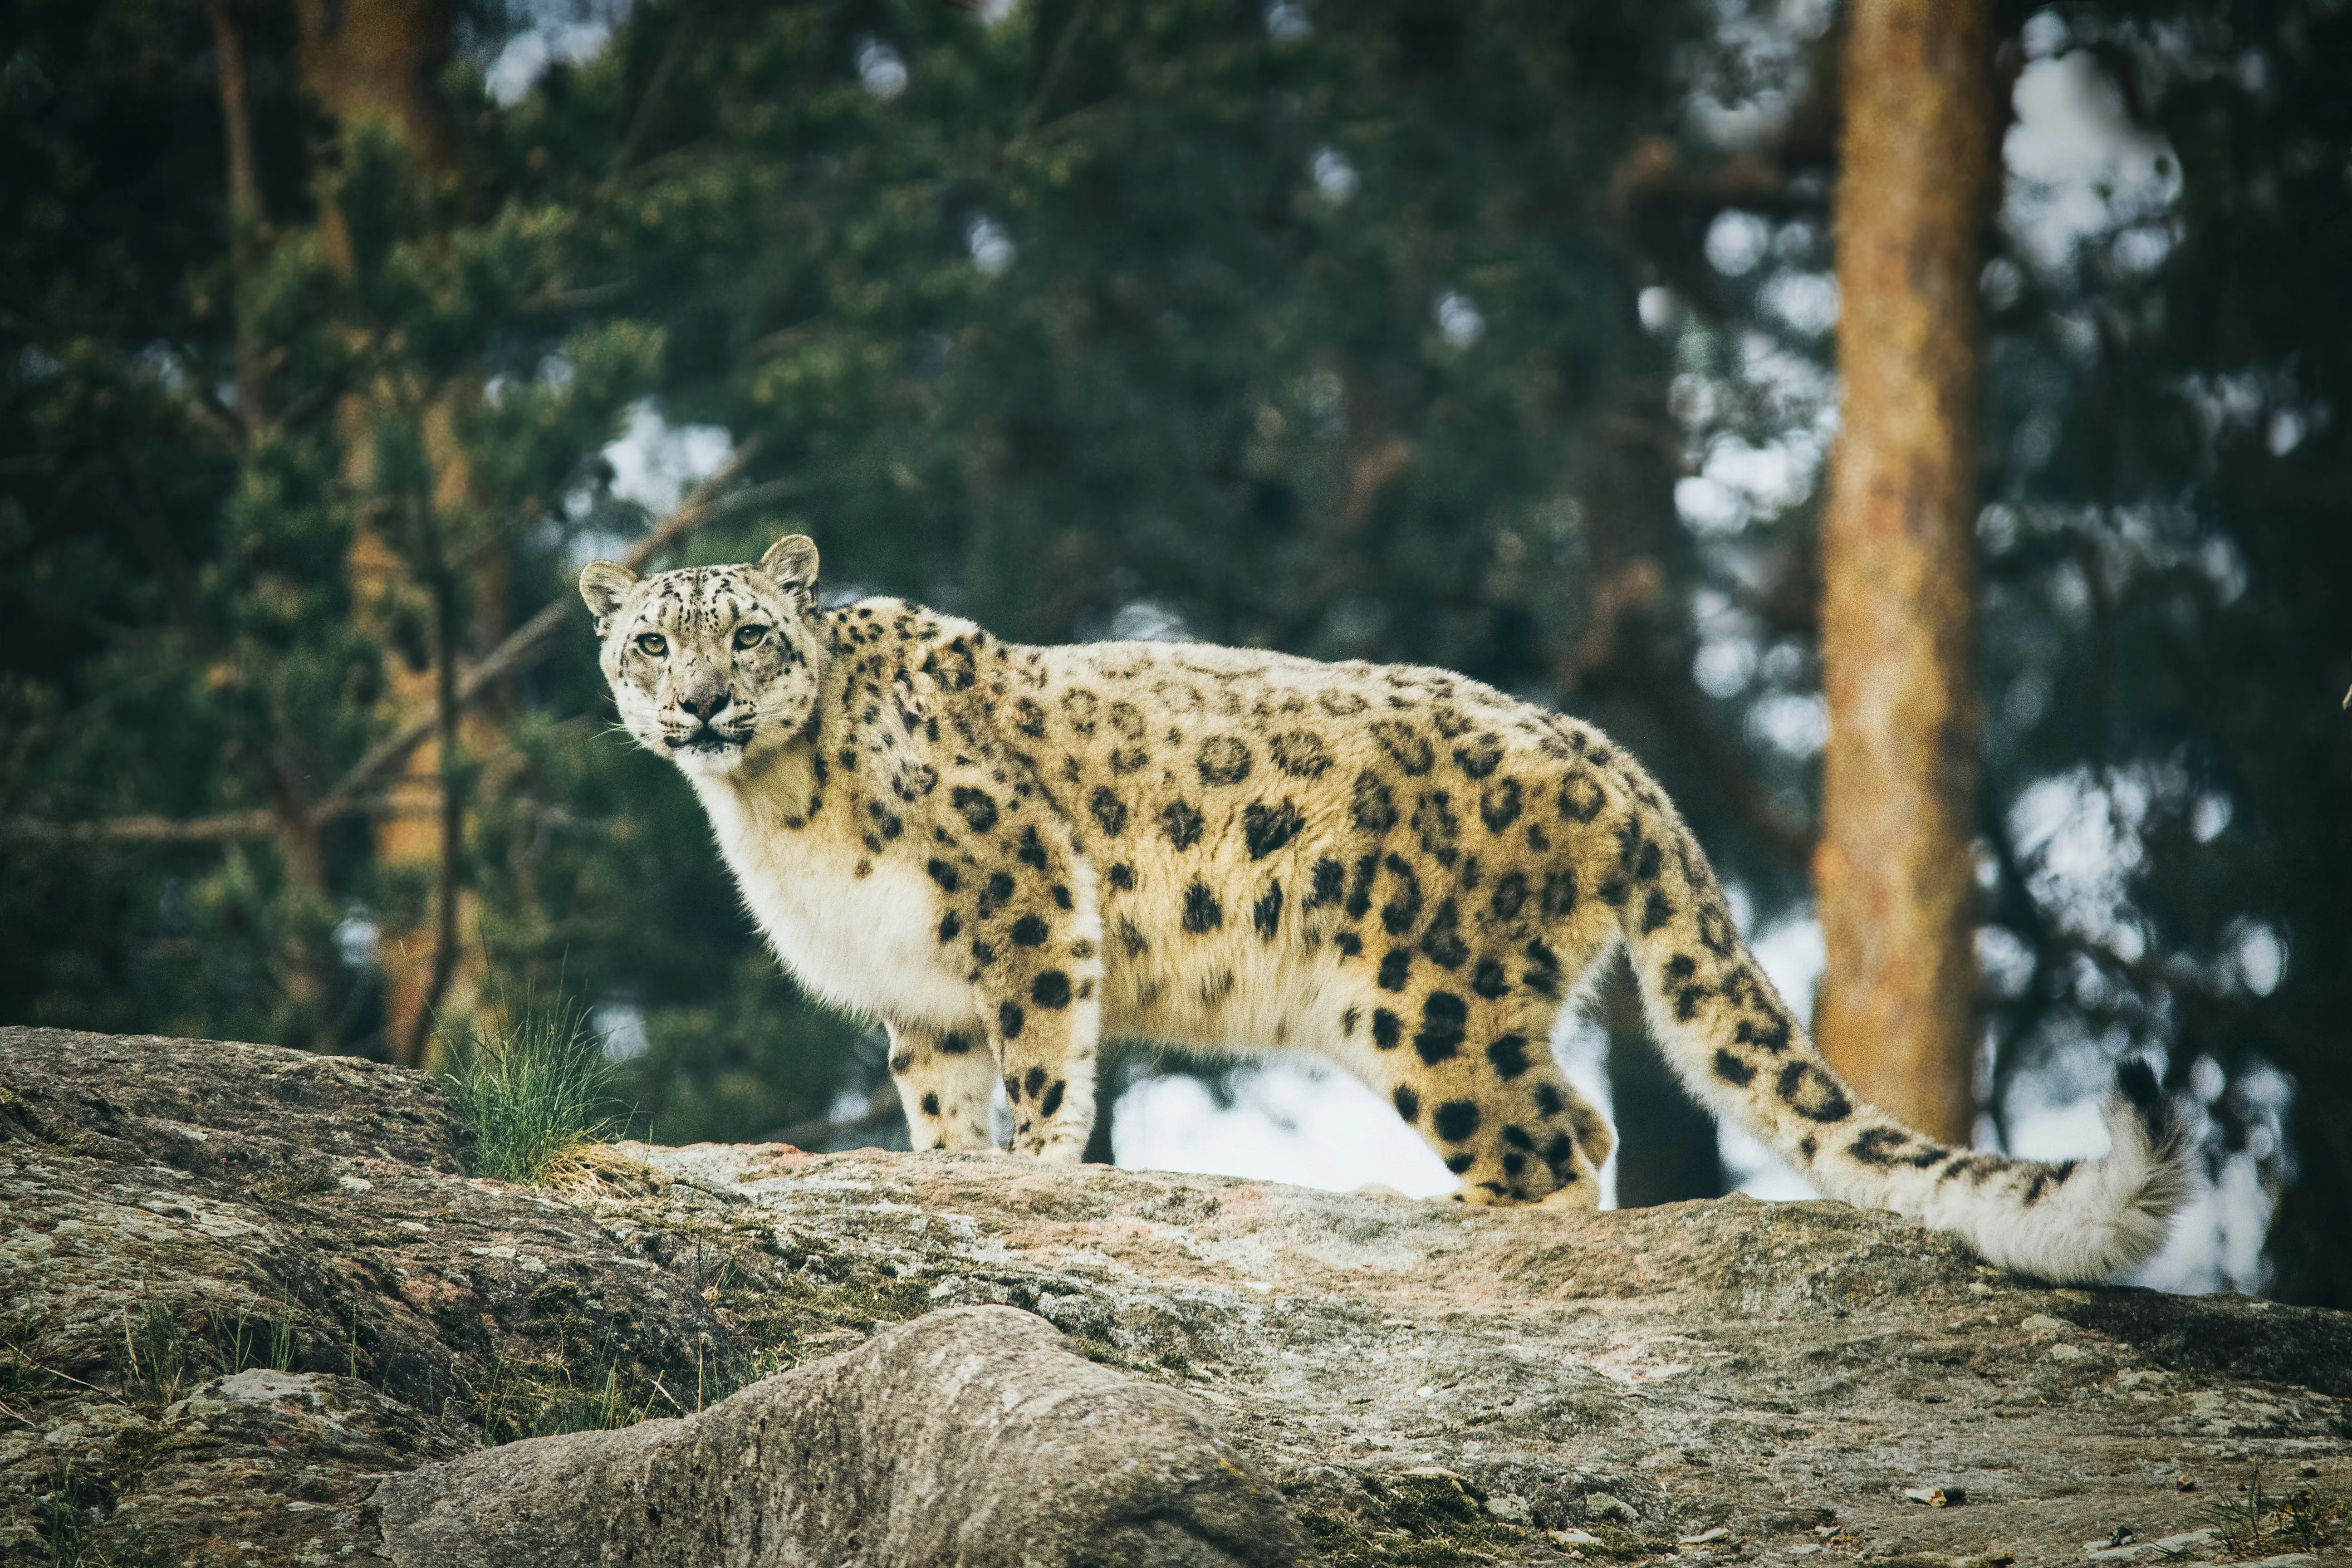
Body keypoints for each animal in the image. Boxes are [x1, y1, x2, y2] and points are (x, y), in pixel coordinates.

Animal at [580, 534, 2189, 1284]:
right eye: (651, 639)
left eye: (749, 633)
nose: (700, 702)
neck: (772, 815)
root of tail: (1609, 754)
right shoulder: (917, 994)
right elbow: (939, 1098)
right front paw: (946, 1172)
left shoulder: (1022, 894)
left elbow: (1042, 1055)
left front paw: (1032, 1167)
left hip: (1421, 992)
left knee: (1561, 1135)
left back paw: (1435, 1213)